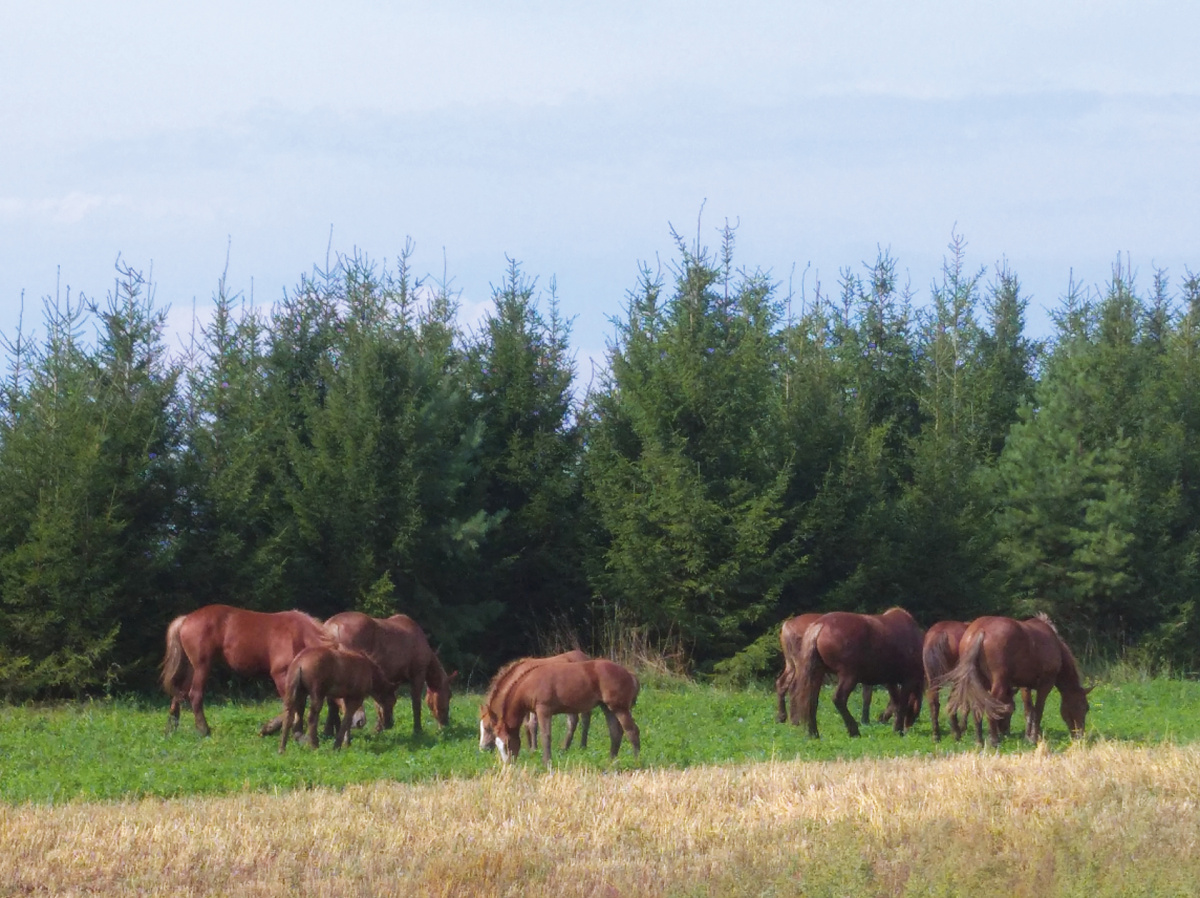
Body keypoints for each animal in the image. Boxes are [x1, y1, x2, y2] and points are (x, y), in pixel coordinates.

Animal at [162, 602, 336, 734]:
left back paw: (172, 727)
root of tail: (186, 619)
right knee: (195, 695)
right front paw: (270, 728)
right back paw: (204, 730)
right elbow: (291, 703)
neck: (298, 634)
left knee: (180, 692)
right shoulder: (281, 674)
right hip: (202, 667)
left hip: (192, 668)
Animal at [324, 609, 453, 734]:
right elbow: (416, 703)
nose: (445, 723)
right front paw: (417, 730)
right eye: (449, 695)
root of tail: (334, 626)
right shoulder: (418, 675)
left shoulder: (389, 680)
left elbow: (381, 703)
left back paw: (329, 732)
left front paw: (379, 727)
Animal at [484, 657, 643, 768]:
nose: (507, 765)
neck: (530, 683)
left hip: (620, 708)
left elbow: (546, 736)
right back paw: (610, 761)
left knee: (632, 731)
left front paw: (546, 763)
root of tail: (630, 674)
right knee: (615, 732)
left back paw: (636, 761)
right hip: (608, 708)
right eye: (497, 744)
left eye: (507, 743)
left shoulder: (543, 710)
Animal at [792, 607, 921, 739]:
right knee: (838, 699)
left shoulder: (891, 681)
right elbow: (902, 704)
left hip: (818, 673)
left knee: (811, 701)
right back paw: (854, 730)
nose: (908, 726)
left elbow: (896, 702)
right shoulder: (908, 680)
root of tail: (820, 625)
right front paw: (898, 729)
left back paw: (813, 733)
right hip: (849, 675)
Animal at [940, 614, 1094, 749]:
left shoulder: (1025, 686)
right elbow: (1038, 711)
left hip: (977, 683)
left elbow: (1029, 711)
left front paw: (1028, 736)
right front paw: (1034, 738)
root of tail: (980, 630)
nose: (1080, 735)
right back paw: (994, 740)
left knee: (977, 706)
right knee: (990, 706)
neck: (1055, 644)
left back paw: (979, 741)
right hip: (998, 683)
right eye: (1085, 707)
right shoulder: (1045, 684)